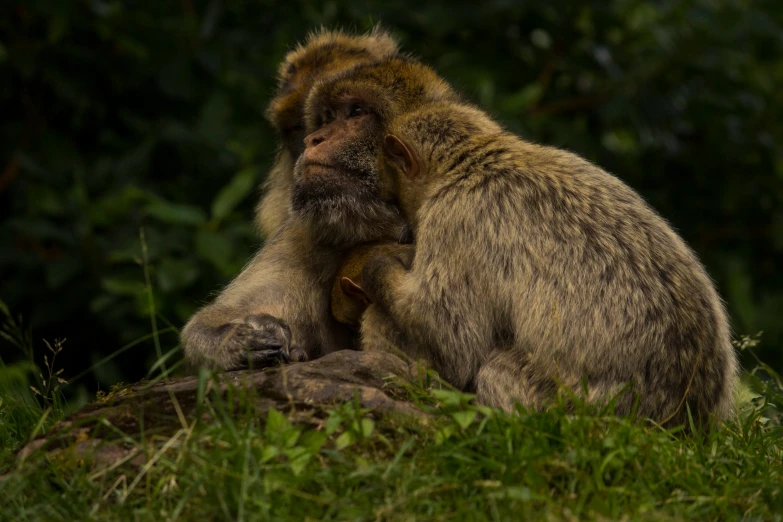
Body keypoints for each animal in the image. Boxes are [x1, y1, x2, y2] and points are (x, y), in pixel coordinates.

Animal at [302, 63, 740, 424]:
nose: (315, 137)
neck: (475, 162)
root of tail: (686, 422)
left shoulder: (454, 218)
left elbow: (452, 340)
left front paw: (379, 267)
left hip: (573, 408)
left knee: (495, 370)